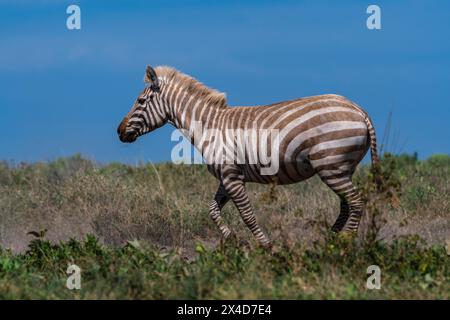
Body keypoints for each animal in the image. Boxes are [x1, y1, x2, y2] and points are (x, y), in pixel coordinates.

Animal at [118, 66, 378, 249]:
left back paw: (345, 244)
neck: (209, 127)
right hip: (341, 169)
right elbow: (212, 210)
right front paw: (233, 239)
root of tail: (359, 110)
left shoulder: (232, 177)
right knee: (346, 205)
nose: (119, 132)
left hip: (331, 166)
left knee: (356, 203)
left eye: (140, 101)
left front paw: (266, 246)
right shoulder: (226, 176)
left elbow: (247, 215)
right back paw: (330, 240)